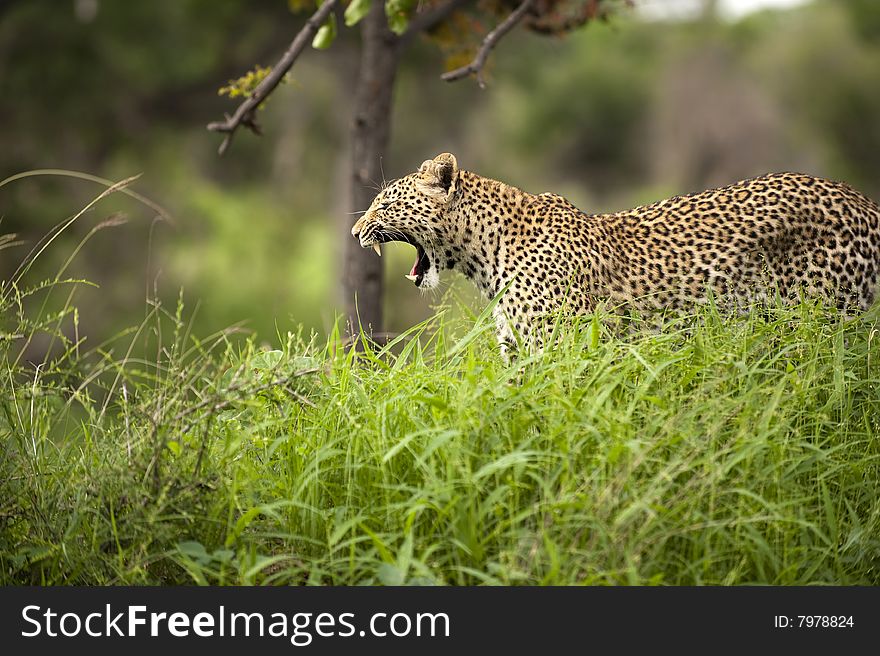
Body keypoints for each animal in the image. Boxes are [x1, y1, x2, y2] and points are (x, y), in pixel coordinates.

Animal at [348, 152, 880, 352]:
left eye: (386, 203)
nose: (355, 232)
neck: (484, 256)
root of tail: (862, 200)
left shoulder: (559, 352)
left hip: (828, 318)